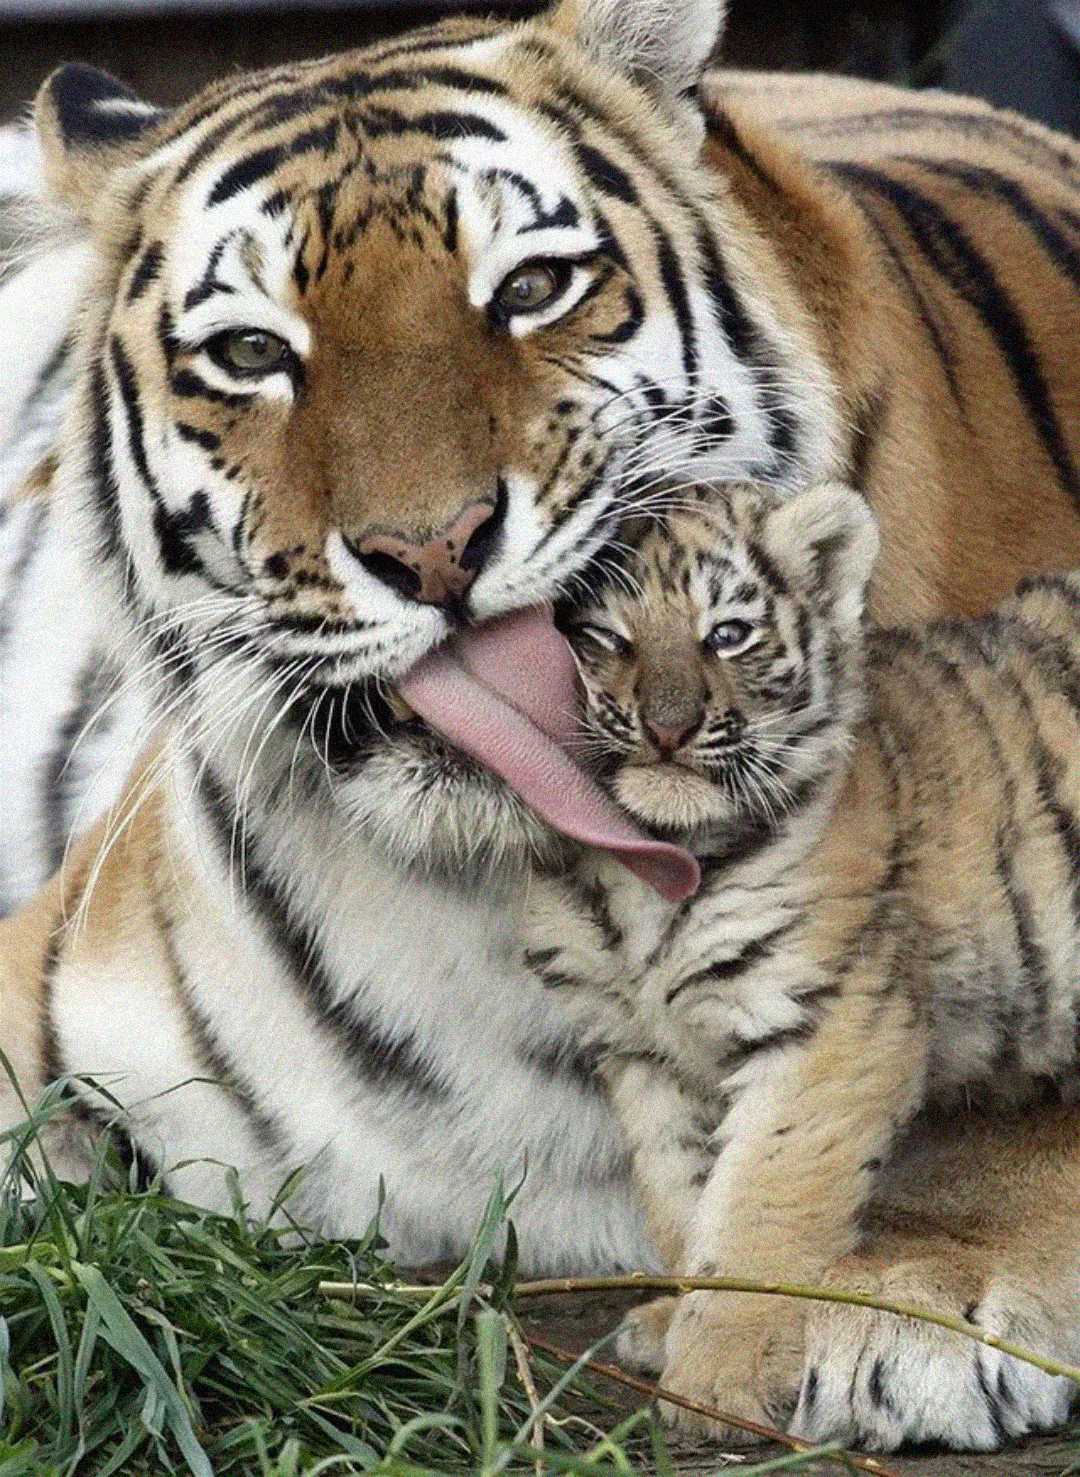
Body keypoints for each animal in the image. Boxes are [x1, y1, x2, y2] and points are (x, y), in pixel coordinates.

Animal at [522, 482, 1080, 1450]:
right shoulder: (642, 1050)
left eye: (728, 633)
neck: (643, 866)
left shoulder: (830, 1017)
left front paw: (721, 1377)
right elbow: (682, 1192)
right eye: (602, 636)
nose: (667, 728)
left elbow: (763, 1206)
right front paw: (673, 1322)